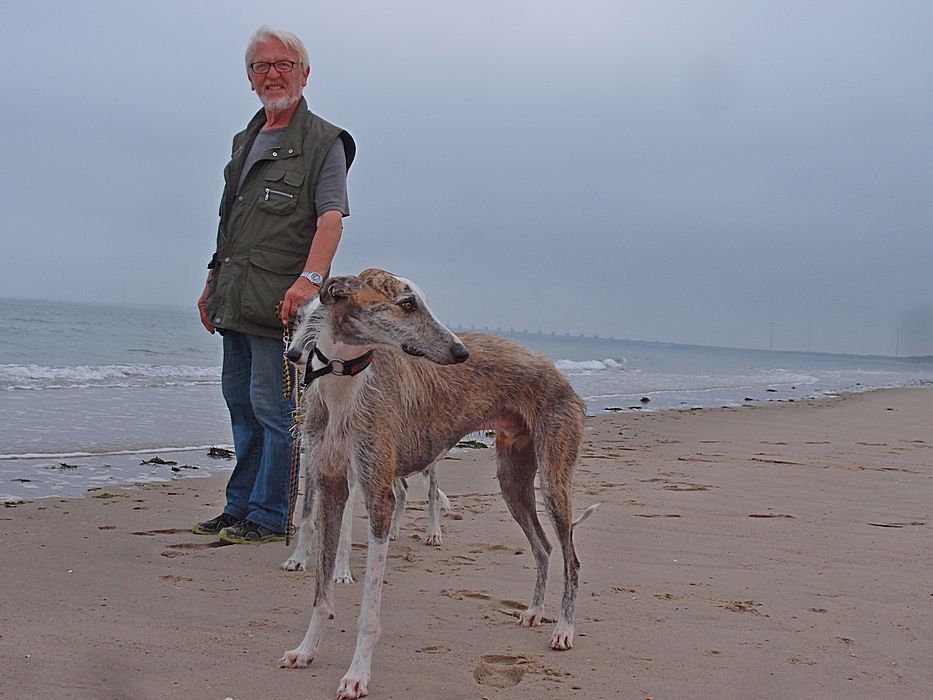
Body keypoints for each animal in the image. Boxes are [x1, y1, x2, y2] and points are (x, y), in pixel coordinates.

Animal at [280, 268, 596, 699]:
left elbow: (368, 609)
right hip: (512, 480)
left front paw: (357, 675)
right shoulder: (331, 484)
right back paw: (534, 611)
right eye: (407, 304)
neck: (346, 382)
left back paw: (563, 629)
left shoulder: (377, 494)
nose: (462, 353)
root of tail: (556, 371)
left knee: (571, 556)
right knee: (543, 545)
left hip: (553, 477)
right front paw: (306, 650)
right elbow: (321, 590)